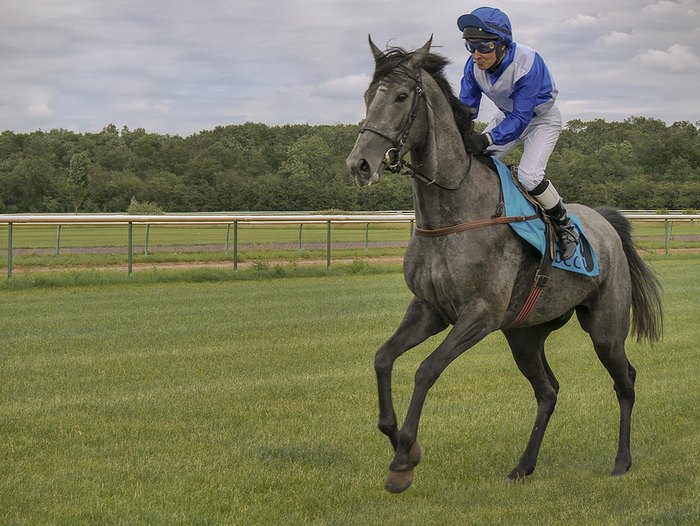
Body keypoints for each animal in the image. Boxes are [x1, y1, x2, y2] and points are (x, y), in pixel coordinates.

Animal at [345, 37, 663, 493]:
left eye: (402, 97)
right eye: (369, 96)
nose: (360, 165)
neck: (453, 214)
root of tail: (605, 221)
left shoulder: (480, 314)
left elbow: (425, 370)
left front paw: (404, 458)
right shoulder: (429, 309)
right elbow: (383, 358)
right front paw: (400, 443)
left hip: (605, 328)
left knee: (626, 381)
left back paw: (621, 461)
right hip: (524, 334)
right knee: (548, 391)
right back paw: (523, 466)